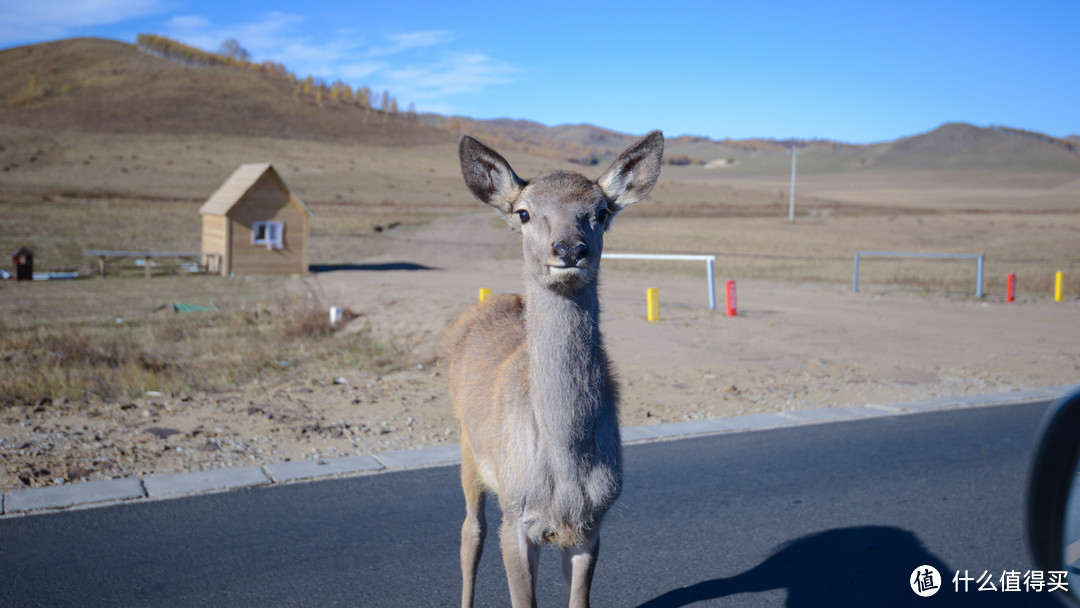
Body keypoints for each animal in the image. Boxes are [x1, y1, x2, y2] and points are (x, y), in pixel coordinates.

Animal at [440, 130, 660, 604]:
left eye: (601, 212)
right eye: (523, 213)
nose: (570, 249)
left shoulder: (592, 524)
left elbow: (579, 598)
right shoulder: (517, 518)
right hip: (468, 446)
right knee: (471, 531)